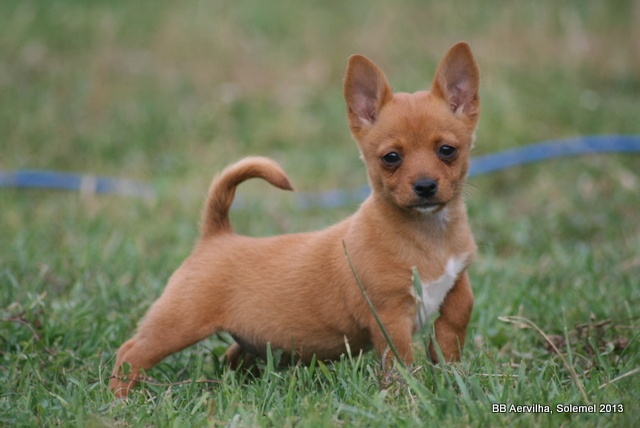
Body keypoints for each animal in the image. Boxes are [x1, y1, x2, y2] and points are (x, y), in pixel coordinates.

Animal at [109, 42, 480, 398]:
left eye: (447, 150)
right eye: (391, 158)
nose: (425, 187)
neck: (427, 233)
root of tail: (216, 235)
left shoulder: (457, 280)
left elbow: (459, 314)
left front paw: (451, 370)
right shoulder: (391, 317)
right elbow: (401, 360)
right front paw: (408, 394)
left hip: (250, 340)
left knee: (230, 357)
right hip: (178, 323)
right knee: (131, 352)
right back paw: (121, 397)